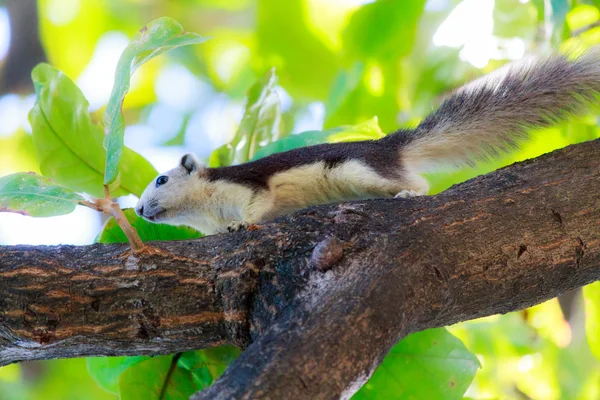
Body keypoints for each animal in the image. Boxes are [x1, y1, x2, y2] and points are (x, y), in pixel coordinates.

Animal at [134, 48, 600, 234]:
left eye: (161, 180)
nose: (137, 210)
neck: (201, 208)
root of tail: (391, 147)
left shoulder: (247, 186)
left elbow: (257, 204)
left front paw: (240, 224)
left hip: (359, 168)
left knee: (415, 184)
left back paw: (409, 195)